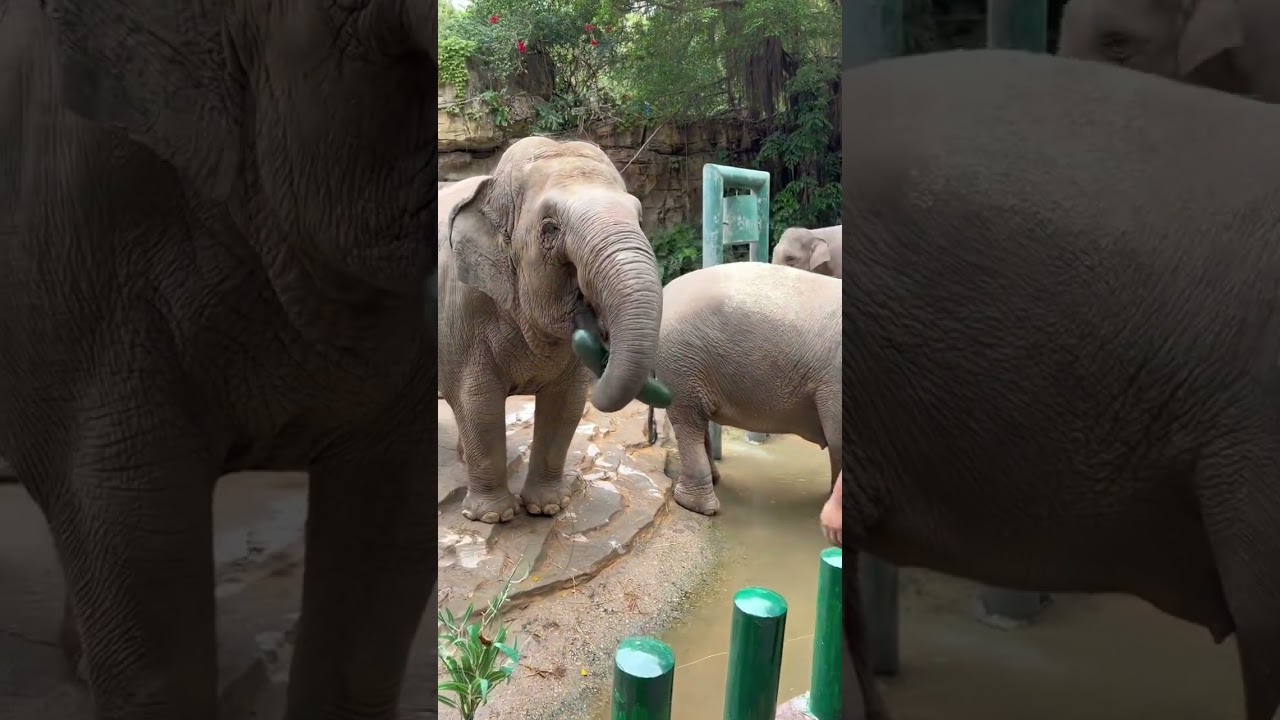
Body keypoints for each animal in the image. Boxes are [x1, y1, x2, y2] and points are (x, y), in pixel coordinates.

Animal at [438, 137, 663, 524]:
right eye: (550, 228)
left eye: (638, 218)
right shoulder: (462, 305)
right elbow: (477, 401)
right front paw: (493, 516)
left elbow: (566, 404)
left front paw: (548, 507)